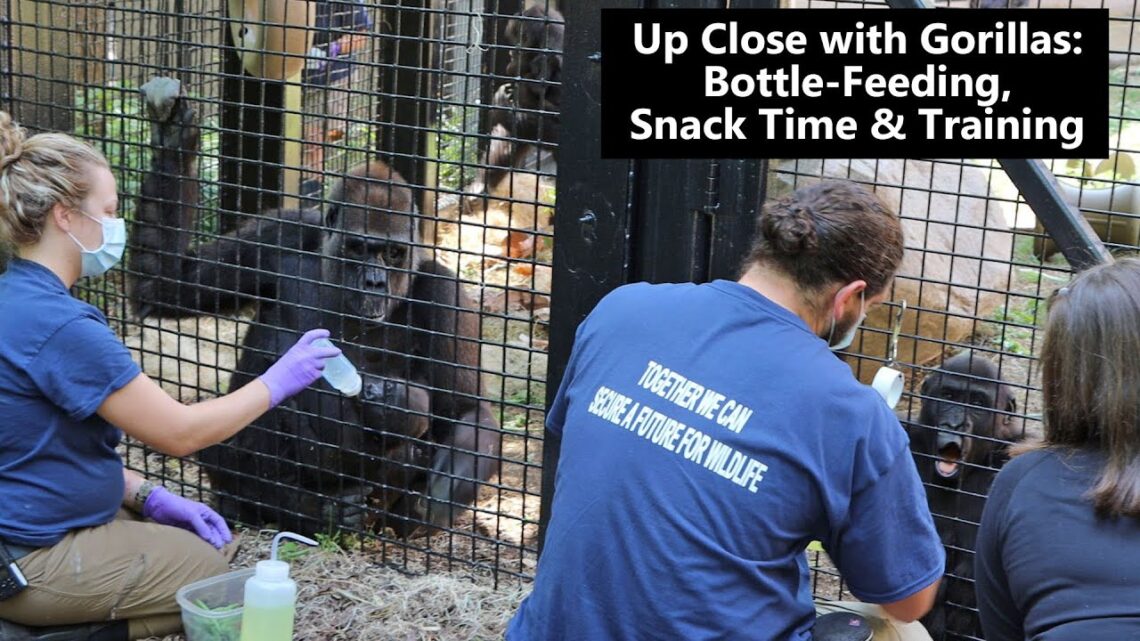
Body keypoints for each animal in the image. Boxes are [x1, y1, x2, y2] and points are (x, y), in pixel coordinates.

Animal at [128, 78, 499, 538]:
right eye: (359, 248)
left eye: (394, 253)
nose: (375, 281)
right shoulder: (275, 236)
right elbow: (165, 282)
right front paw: (175, 140)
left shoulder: (444, 294)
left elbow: (464, 410)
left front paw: (434, 503)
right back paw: (281, 503)